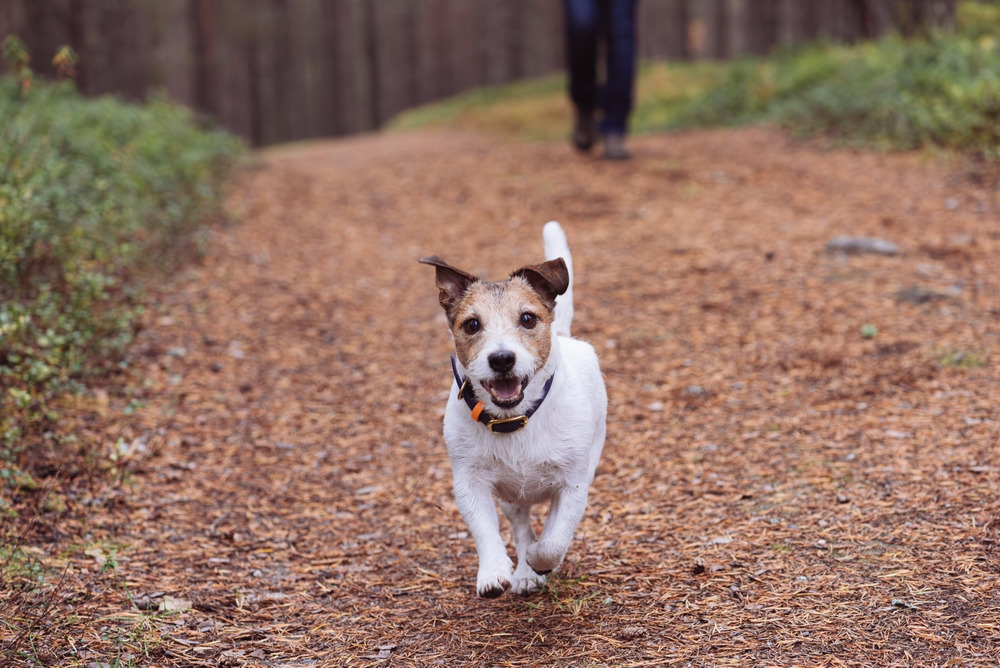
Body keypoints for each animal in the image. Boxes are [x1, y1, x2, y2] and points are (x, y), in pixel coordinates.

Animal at [418, 222, 604, 596]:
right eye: (472, 325)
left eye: (528, 319)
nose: (502, 358)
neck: (515, 420)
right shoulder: (470, 482)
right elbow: (484, 529)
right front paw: (494, 571)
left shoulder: (573, 486)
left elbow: (554, 540)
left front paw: (540, 560)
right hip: (509, 498)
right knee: (520, 527)